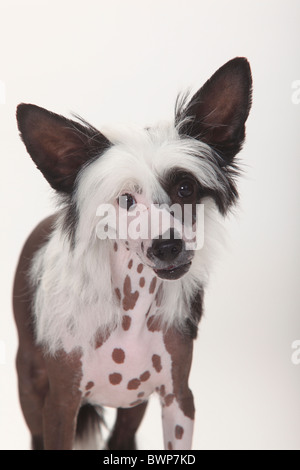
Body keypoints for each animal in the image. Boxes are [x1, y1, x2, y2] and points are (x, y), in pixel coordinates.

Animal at [13, 57, 253, 450]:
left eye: (185, 188)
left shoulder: (178, 400)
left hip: (134, 405)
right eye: (126, 200)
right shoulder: (60, 406)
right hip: (30, 386)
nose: (168, 246)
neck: (132, 307)